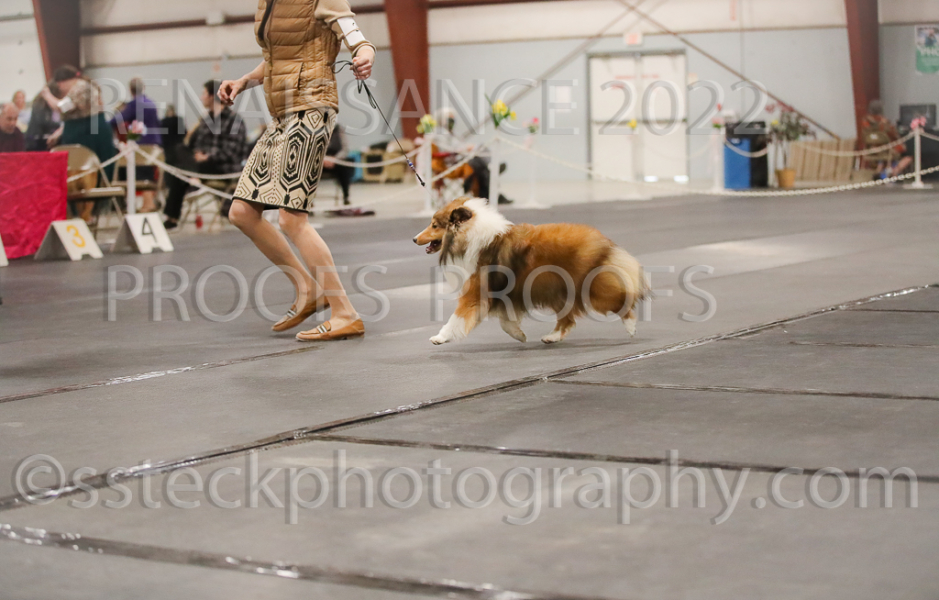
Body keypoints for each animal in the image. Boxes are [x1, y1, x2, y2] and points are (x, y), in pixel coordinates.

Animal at [413, 197, 648, 345]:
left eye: (434, 225)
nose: (414, 239)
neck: (470, 234)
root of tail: (603, 241)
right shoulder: (505, 293)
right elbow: (505, 321)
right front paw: (519, 335)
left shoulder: (475, 292)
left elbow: (457, 319)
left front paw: (439, 338)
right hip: (559, 289)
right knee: (567, 319)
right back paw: (551, 337)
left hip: (587, 287)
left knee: (621, 299)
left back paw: (631, 327)